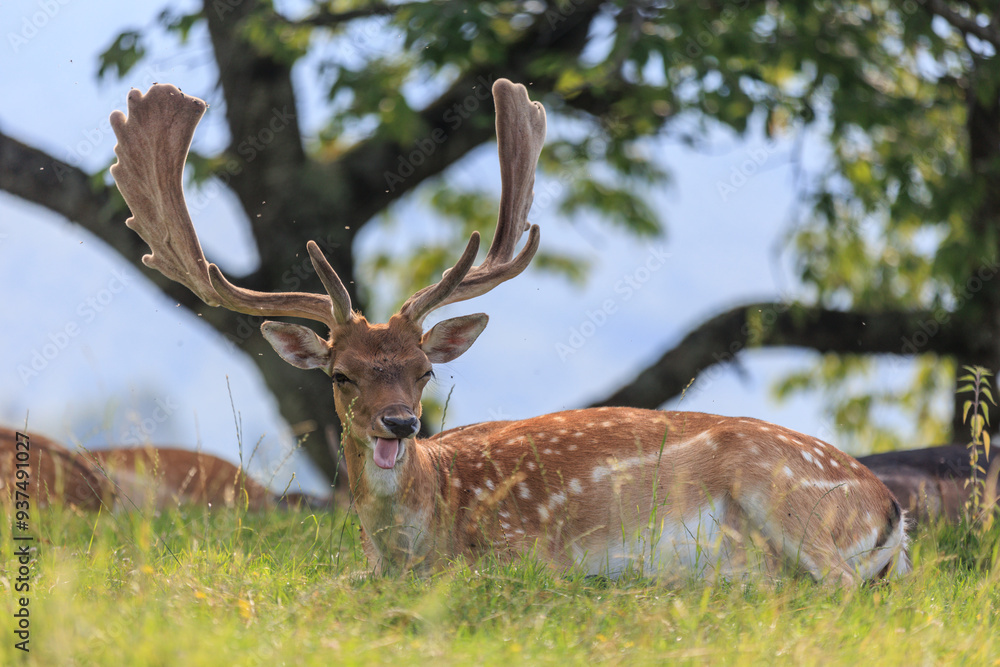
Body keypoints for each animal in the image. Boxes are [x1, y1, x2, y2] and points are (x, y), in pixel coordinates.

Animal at [109, 80, 910, 584]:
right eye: (341, 372)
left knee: (838, 588)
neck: (415, 545)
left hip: (786, 494)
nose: (401, 422)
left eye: (425, 369)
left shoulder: (526, 552)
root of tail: (890, 509)